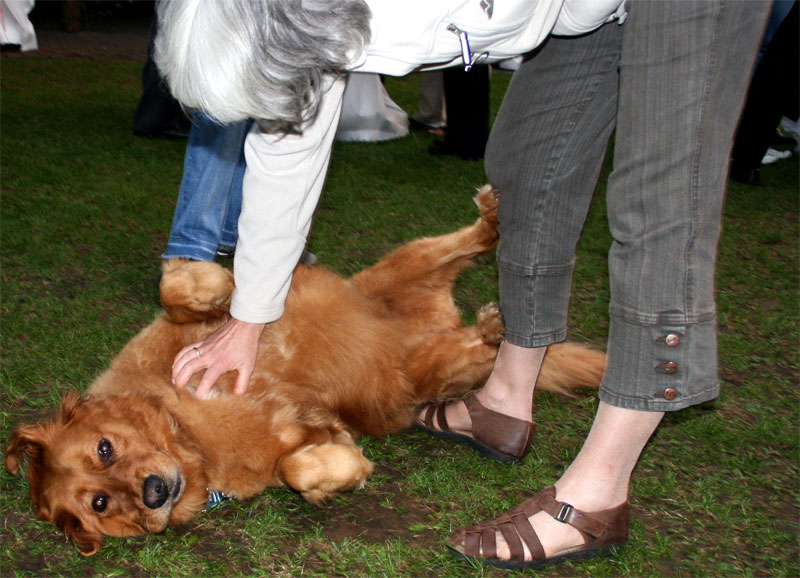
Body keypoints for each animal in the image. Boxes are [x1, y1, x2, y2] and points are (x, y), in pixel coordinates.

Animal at [4, 186, 608, 552]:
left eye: (105, 448)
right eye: (99, 504)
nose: (154, 492)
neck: (184, 429)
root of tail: (440, 321)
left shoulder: (185, 333)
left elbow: (179, 289)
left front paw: (222, 283)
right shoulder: (301, 443)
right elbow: (300, 467)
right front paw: (347, 468)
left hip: (400, 266)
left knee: (475, 242)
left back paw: (496, 220)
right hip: (414, 376)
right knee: (478, 349)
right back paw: (493, 326)